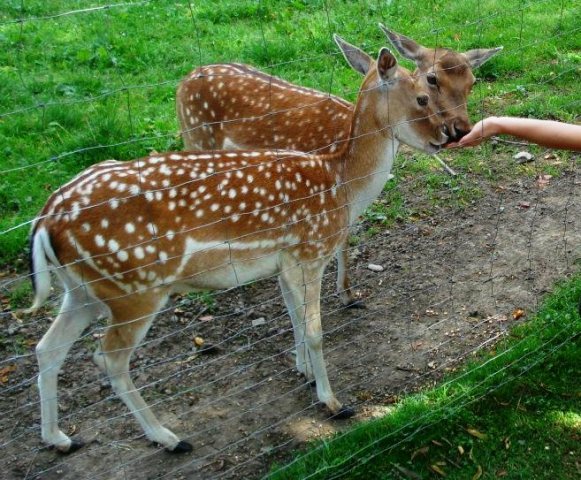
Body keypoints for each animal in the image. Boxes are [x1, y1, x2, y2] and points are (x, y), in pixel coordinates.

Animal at [30, 34, 448, 454]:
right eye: (422, 97)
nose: (444, 137)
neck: (340, 184)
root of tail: (45, 220)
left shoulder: (284, 262)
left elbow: (294, 319)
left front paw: (304, 373)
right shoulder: (310, 251)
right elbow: (314, 331)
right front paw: (332, 401)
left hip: (83, 289)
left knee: (47, 347)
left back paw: (59, 438)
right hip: (134, 288)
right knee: (109, 358)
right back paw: (168, 437)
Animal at [176, 24, 498, 306]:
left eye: (472, 83)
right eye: (431, 80)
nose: (459, 129)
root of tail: (183, 81)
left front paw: (347, 293)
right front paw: (344, 294)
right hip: (196, 140)